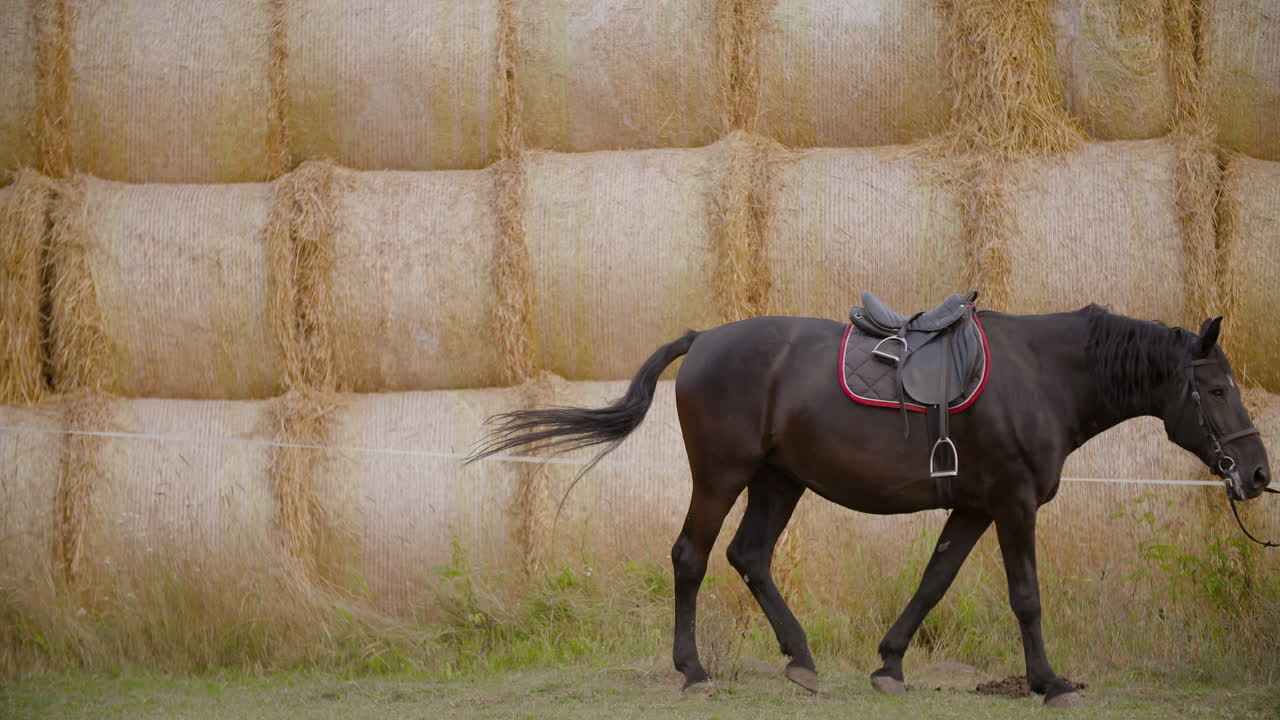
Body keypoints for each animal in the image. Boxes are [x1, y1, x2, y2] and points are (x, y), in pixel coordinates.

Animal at [470, 304, 1272, 707]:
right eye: (1217, 388)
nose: (1259, 474)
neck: (1042, 375)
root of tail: (703, 341)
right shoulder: (1013, 503)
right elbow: (1026, 597)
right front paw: (1050, 683)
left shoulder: (973, 507)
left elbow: (935, 581)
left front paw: (889, 664)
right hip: (723, 476)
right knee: (692, 556)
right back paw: (694, 670)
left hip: (778, 480)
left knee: (749, 556)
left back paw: (800, 659)